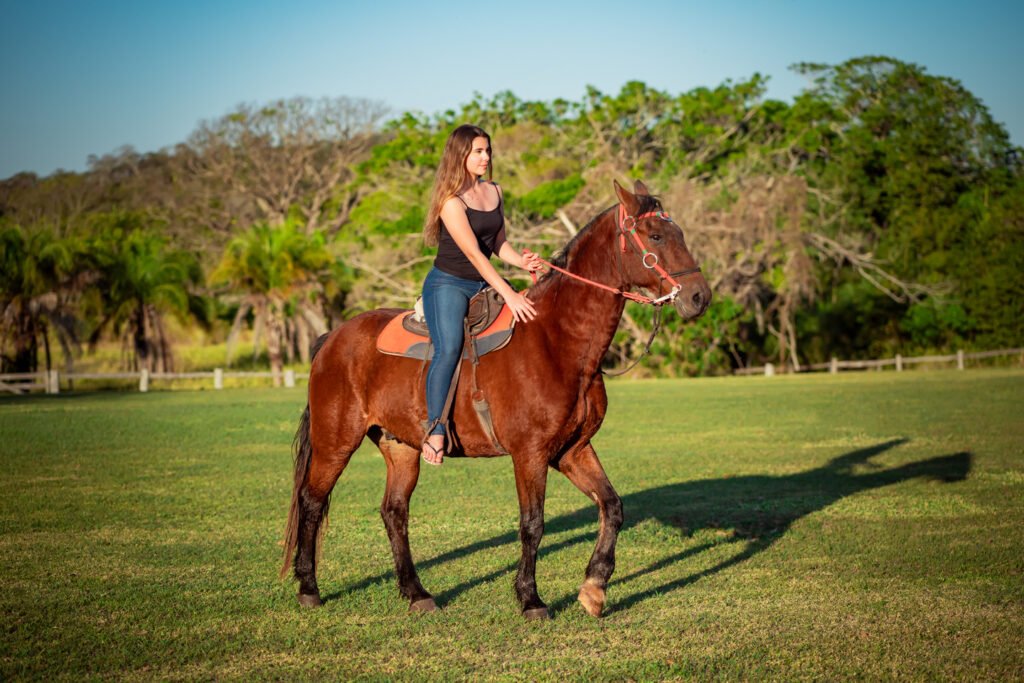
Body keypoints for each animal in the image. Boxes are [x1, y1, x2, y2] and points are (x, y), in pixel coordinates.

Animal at [280, 179, 712, 619]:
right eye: (655, 236)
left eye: (678, 233)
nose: (699, 297)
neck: (557, 340)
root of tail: (331, 339)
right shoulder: (530, 454)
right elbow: (533, 524)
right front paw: (531, 598)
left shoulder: (573, 450)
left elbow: (612, 505)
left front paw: (594, 588)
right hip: (336, 442)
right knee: (312, 502)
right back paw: (309, 588)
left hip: (400, 447)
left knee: (394, 512)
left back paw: (417, 592)